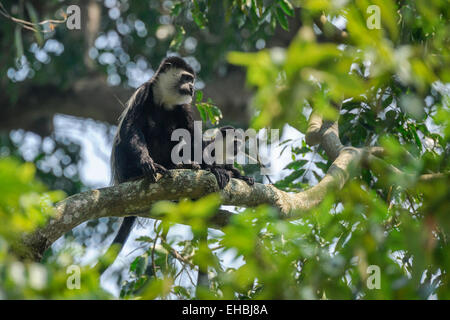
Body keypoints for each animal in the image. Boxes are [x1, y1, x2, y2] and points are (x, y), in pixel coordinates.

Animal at [110, 57, 253, 252]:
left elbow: (192, 137)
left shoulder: (183, 107)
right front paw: (147, 162)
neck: (165, 100)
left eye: (192, 80)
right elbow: (131, 127)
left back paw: (185, 166)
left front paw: (218, 170)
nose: (192, 87)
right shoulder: (143, 92)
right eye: (186, 78)